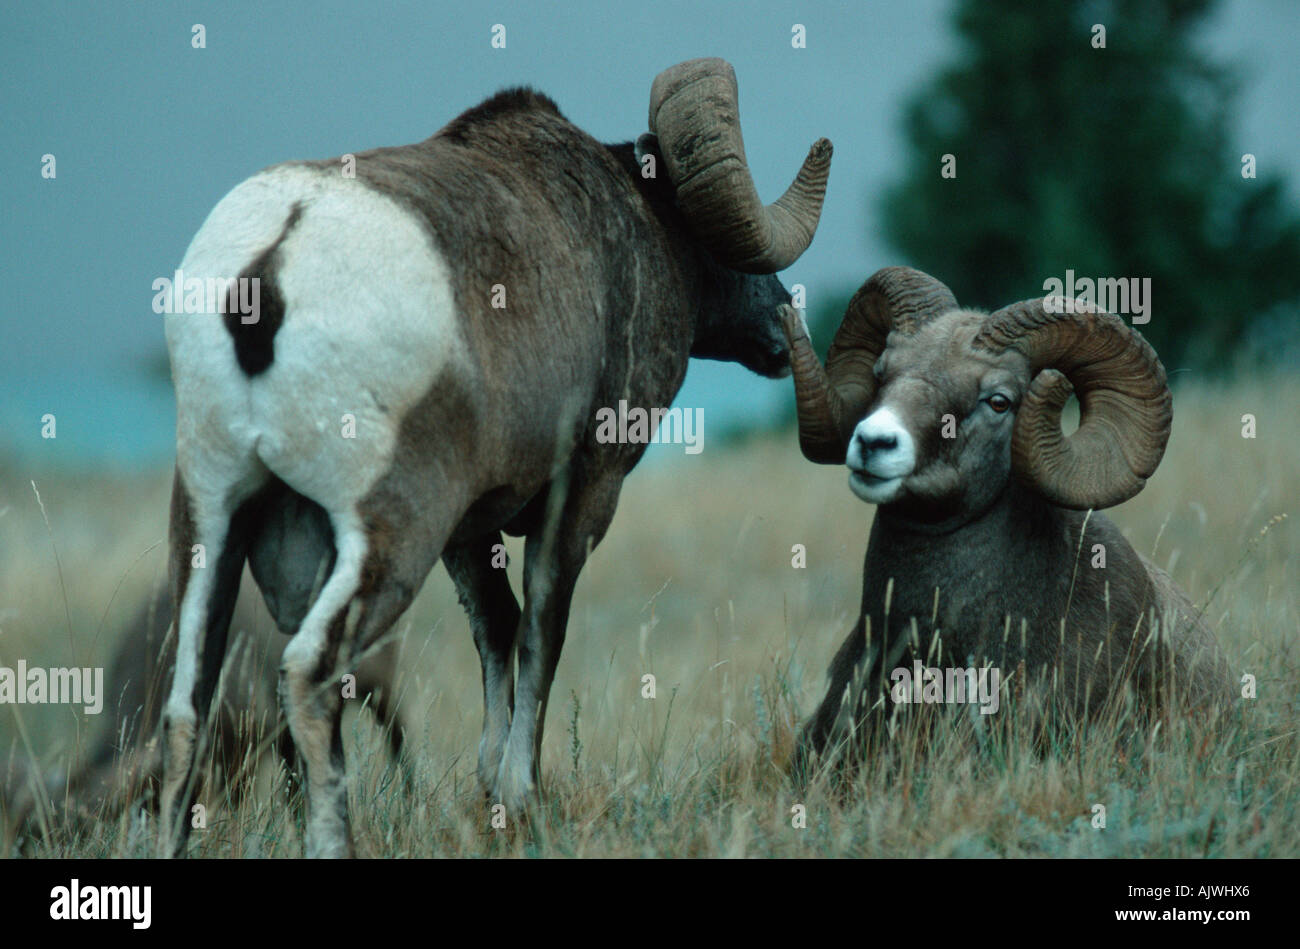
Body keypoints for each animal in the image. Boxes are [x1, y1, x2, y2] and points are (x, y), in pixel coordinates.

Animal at [160, 57, 832, 856]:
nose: (780, 331)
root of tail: (270, 268)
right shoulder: (581, 492)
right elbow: (542, 627)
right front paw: (521, 796)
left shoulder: (470, 529)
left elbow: (497, 628)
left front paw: (493, 795)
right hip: (392, 534)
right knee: (311, 674)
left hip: (212, 522)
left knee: (186, 706)